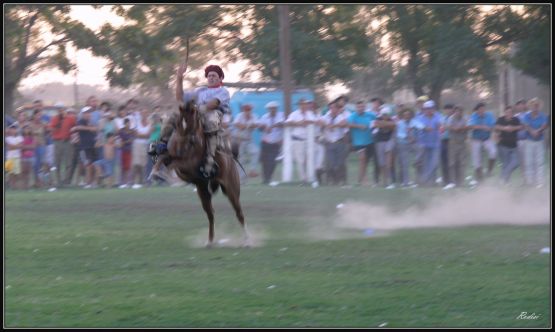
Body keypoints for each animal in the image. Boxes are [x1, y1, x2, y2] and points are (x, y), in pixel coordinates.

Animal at [166, 100, 251, 248]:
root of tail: (231, 161)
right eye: (178, 122)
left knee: (239, 213)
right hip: (203, 192)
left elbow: (175, 164)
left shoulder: (189, 164)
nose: (183, 145)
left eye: (192, 121)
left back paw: (246, 241)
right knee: (211, 215)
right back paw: (210, 241)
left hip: (232, 191)